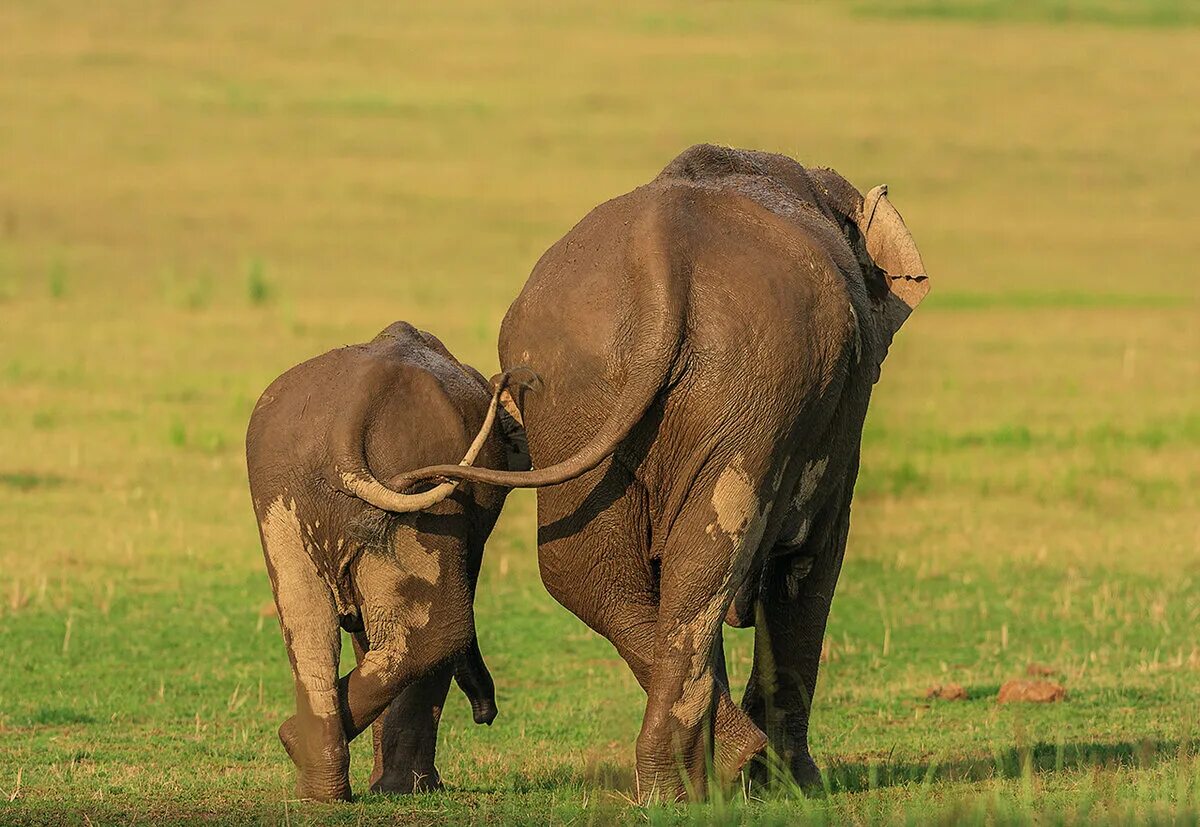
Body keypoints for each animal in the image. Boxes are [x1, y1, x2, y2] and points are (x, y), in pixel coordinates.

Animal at [242, 321, 525, 801]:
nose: (486, 714)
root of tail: (353, 410)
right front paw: (410, 791)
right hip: (422, 490)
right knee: (440, 632)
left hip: (279, 487)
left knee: (310, 626)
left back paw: (315, 783)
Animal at [398, 145, 931, 796]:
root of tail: (658, 262)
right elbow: (812, 559)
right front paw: (800, 786)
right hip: (748, 382)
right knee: (709, 554)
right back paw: (722, 767)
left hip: (575, 391)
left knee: (589, 574)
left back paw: (680, 783)